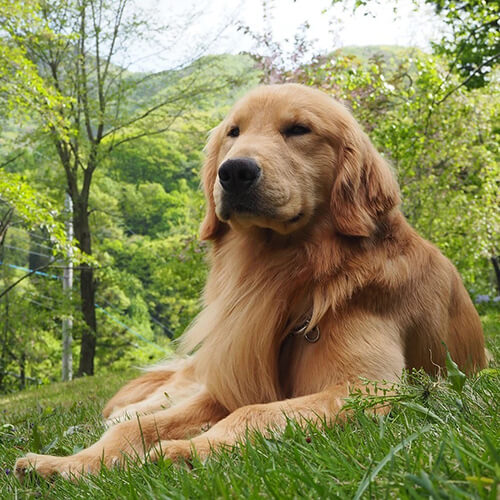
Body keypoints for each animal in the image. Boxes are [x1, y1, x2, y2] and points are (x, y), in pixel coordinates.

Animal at [13, 84, 486, 478]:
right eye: (233, 132)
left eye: (298, 129)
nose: (234, 171)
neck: (298, 274)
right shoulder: (224, 385)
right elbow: (138, 427)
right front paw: (68, 463)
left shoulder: (368, 387)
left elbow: (252, 413)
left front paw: (183, 451)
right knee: (136, 408)